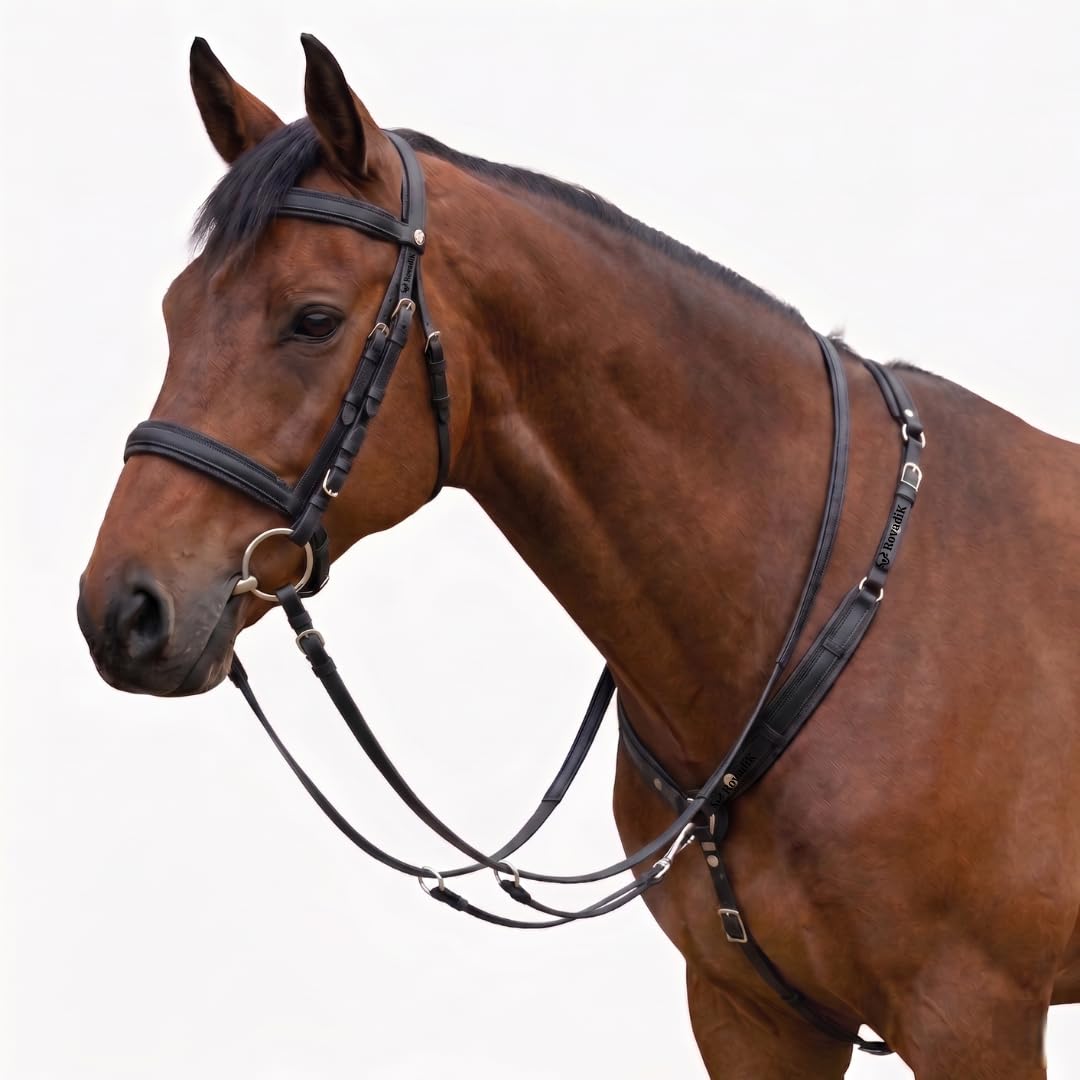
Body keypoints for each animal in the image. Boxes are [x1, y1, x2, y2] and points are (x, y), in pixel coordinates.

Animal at [77, 35, 1080, 1079]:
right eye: (174, 311)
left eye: (312, 319)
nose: (124, 608)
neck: (829, 613)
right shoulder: (750, 1016)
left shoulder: (971, 1017)